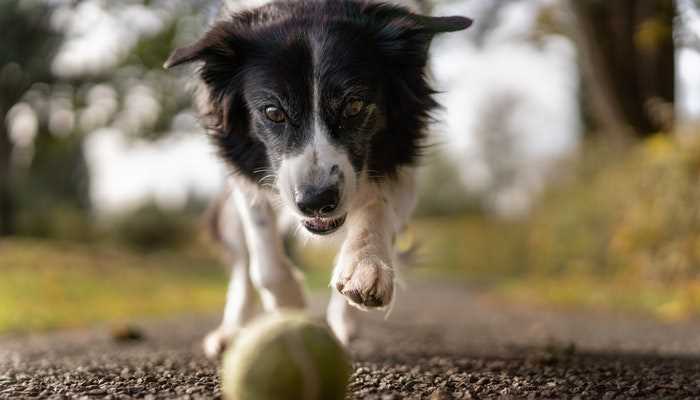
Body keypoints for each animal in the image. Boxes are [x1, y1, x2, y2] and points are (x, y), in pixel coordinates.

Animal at [164, 0, 470, 356]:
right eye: (273, 112)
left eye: (354, 105)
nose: (316, 202)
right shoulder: (245, 173)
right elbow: (263, 260)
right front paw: (291, 305)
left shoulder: (402, 157)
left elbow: (376, 206)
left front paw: (365, 266)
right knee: (242, 264)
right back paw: (231, 331)